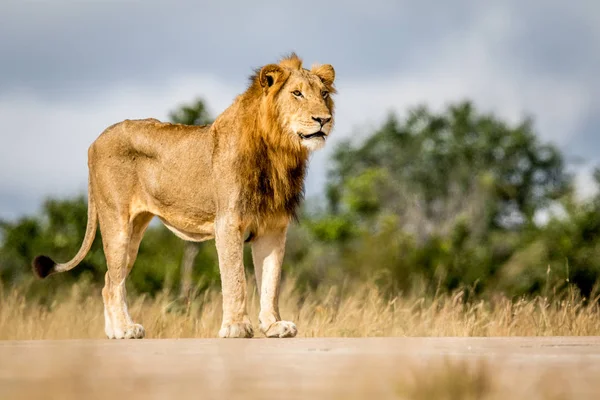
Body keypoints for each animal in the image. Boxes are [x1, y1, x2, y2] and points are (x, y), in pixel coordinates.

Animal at [32, 53, 336, 340]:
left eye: (323, 94)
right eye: (297, 93)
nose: (324, 119)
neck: (279, 151)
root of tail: (95, 141)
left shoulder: (273, 227)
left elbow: (271, 281)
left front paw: (273, 325)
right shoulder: (228, 222)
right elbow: (236, 279)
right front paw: (236, 327)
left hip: (134, 229)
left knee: (108, 280)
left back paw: (115, 331)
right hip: (116, 222)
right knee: (113, 282)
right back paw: (125, 330)